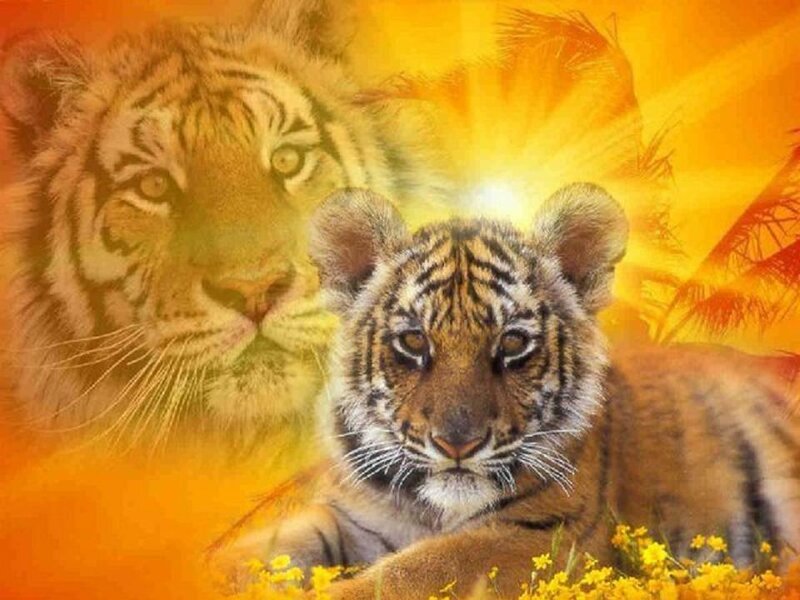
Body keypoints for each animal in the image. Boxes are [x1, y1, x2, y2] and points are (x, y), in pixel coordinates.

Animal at [221, 184, 800, 599]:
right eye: (414, 341)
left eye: (513, 342)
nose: (456, 443)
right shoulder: (352, 517)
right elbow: (271, 545)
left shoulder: (539, 534)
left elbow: (416, 570)